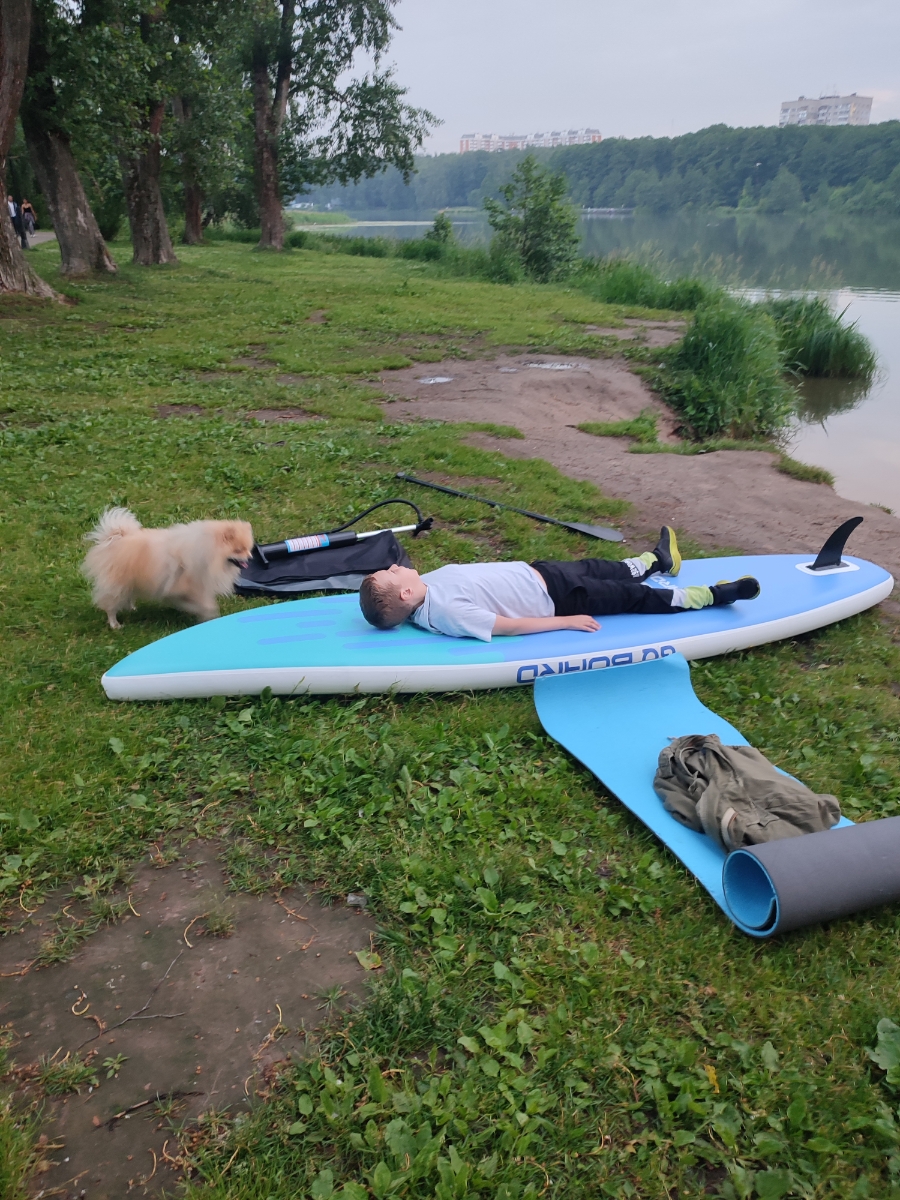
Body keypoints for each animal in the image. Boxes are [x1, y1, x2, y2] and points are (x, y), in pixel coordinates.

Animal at [83, 506, 255, 628]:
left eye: (248, 548)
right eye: (238, 550)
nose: (250, 558)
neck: (209, 552)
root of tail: (114, 538)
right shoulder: (186, 586)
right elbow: (204, 605)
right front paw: (206, 614)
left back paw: (131, 608)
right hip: (117, 584)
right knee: (110, 605)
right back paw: (115, 624)